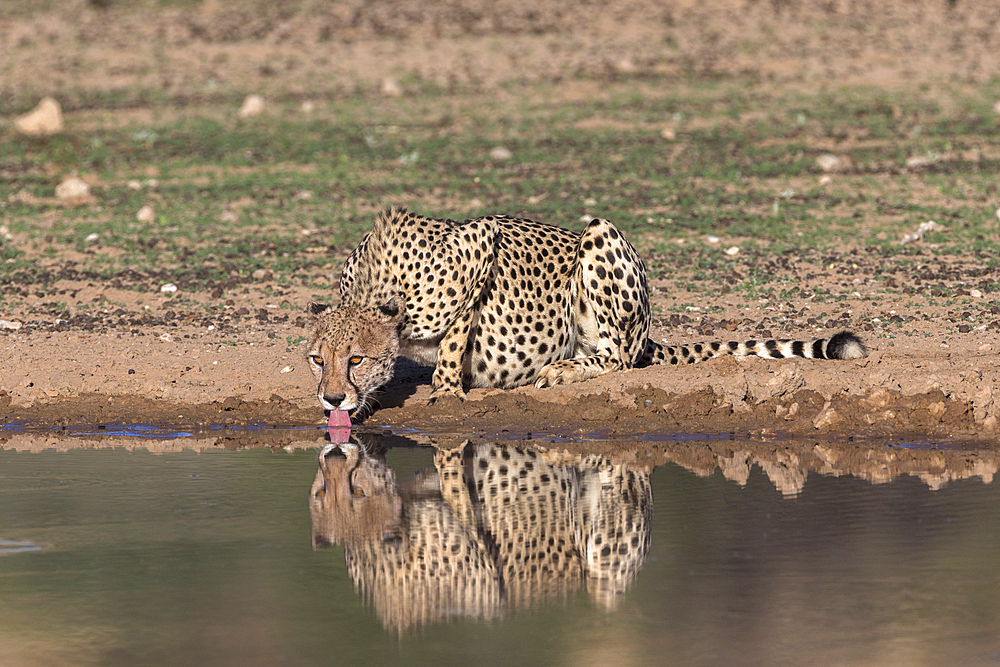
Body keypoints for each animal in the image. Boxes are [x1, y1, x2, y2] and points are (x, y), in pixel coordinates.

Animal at [306, 207, 868, 418]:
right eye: (317, 360)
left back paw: (562, 370)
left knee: (617, 357)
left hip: (600, 235)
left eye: (355, 359)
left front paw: (444, 391)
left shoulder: (481, 240)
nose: (332, 399)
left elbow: (452, 340)